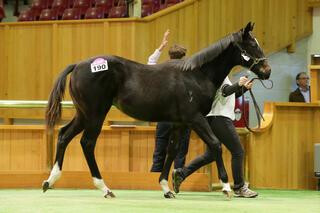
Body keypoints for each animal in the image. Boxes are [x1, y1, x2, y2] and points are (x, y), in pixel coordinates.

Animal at [42, 22, 270, 199]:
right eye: (251, 45)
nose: (267, 71)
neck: (196, 75)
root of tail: (78, 65)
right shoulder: (195, 119)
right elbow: (215, 145)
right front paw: (226, 188)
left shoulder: (180, 122)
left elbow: (172, 150)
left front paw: (166, 188)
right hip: (95, 114)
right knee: (87, 143)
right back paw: (104, 188)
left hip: (84, 114)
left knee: (64, 135)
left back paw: (50, 181)